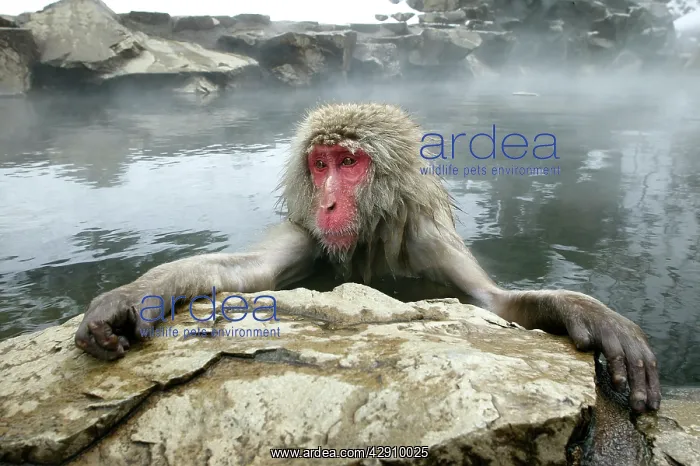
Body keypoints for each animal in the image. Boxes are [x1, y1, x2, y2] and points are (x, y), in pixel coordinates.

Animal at [74, 102, 661, 413]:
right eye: (320, 164)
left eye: (350, 162)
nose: (329, 201)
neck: (368, 237)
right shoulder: (306, 233)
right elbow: (245, 272)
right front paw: (129, 300)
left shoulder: (431, 244)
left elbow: (490, 301)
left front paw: (589, 314)